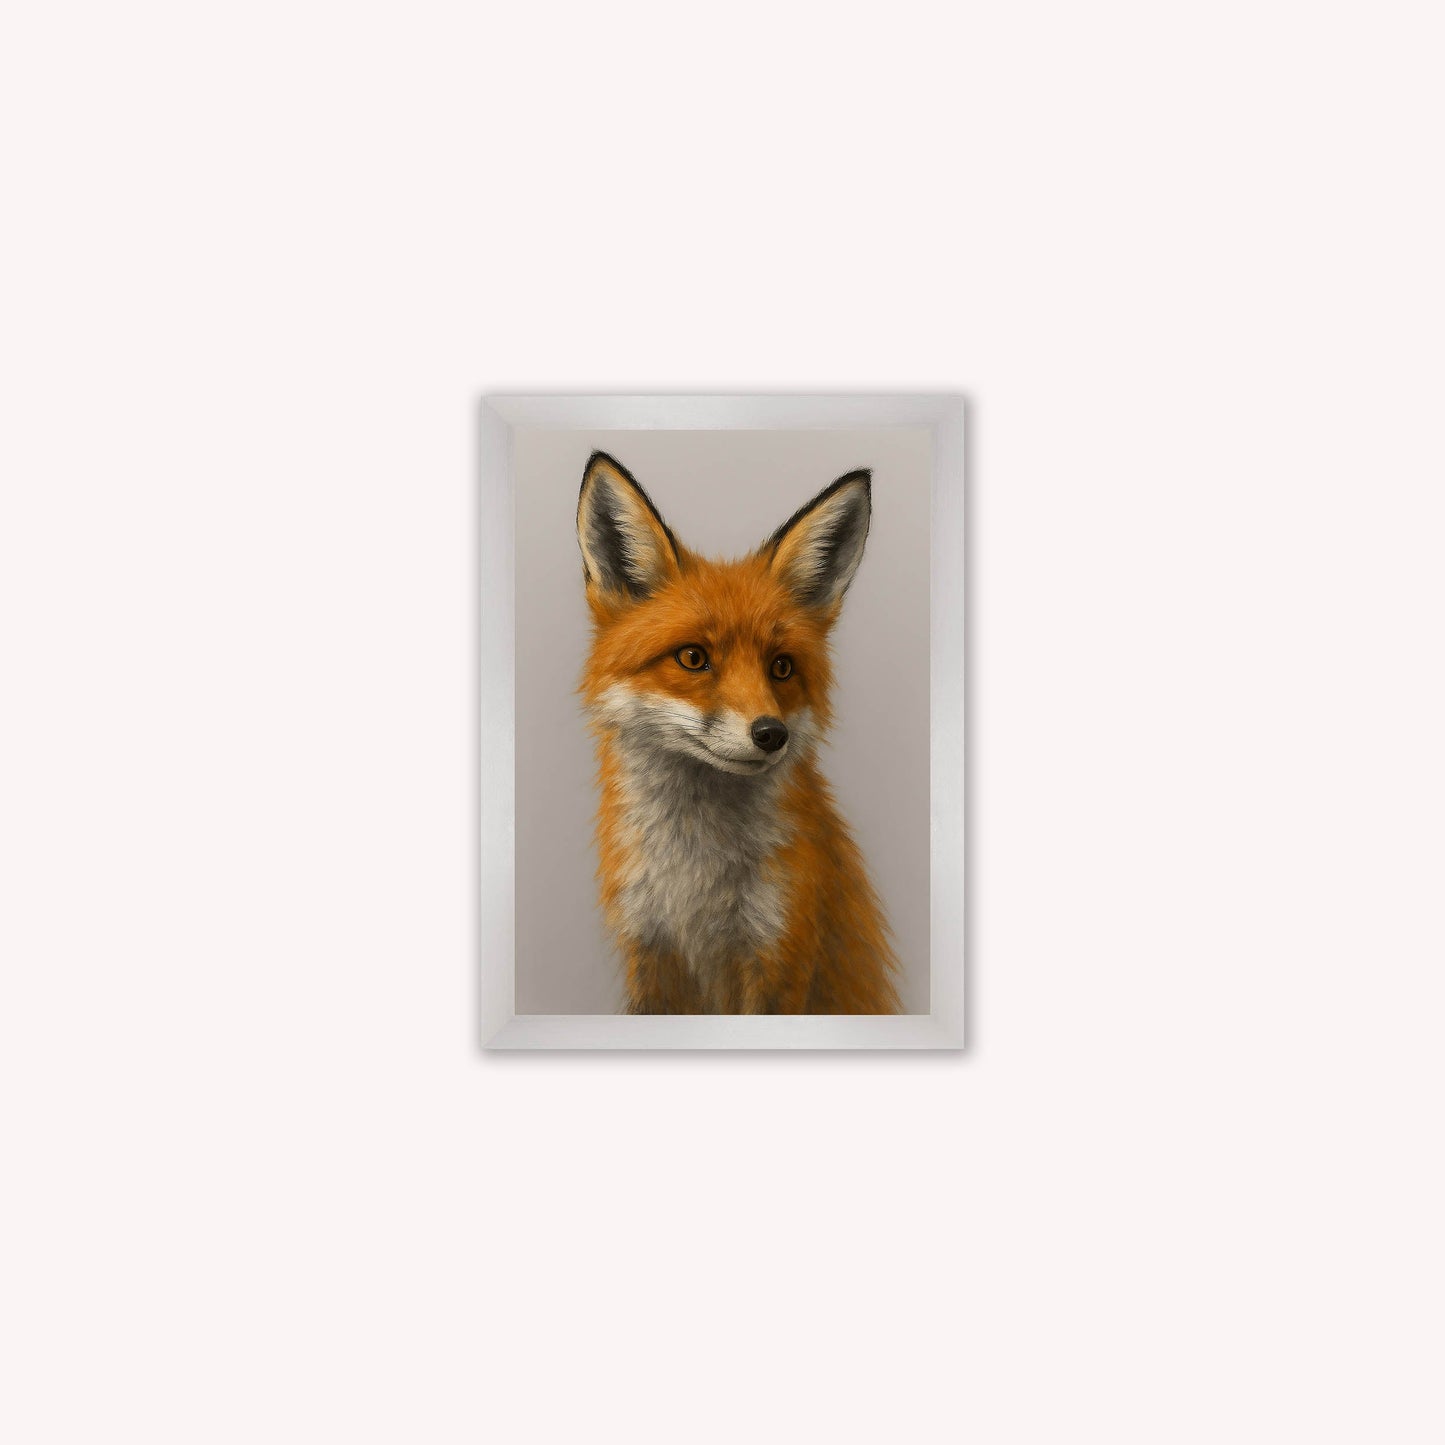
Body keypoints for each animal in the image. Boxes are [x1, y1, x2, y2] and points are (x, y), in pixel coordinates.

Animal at [575, 450, 901, 1015]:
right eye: (693, 658)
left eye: (781, 667)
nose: (772, 734)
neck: (694, 882)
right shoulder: (650, 951)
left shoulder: (779, 954)